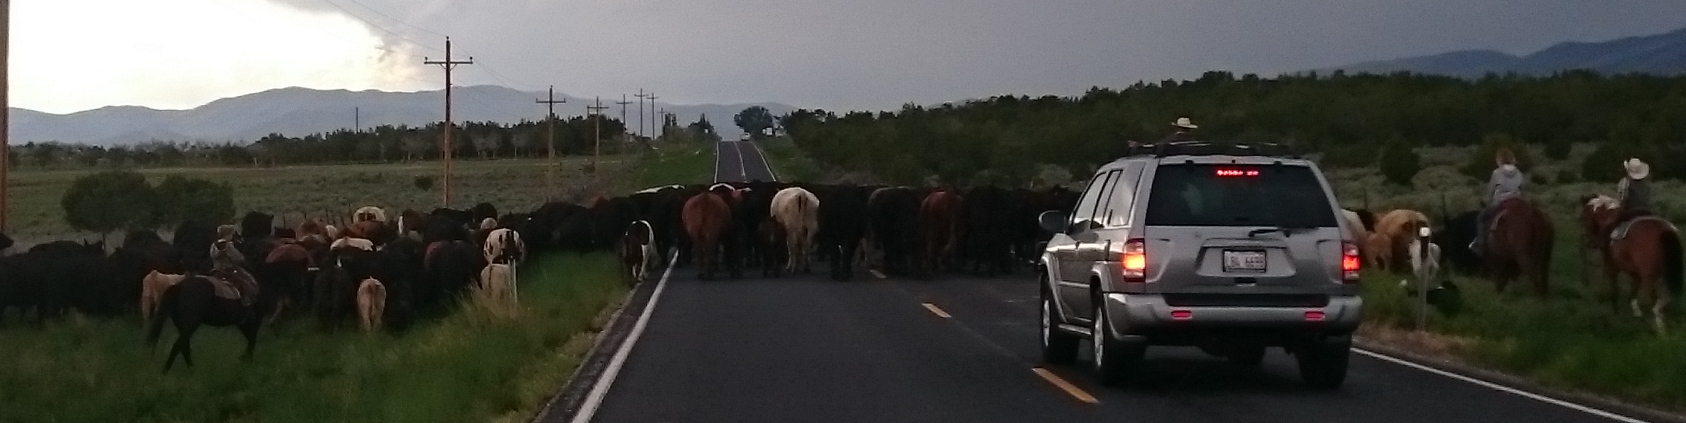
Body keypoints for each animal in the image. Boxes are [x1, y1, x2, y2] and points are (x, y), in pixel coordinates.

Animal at [1571, 194, 1679, 333]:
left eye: (1583, 217)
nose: (1585, 241)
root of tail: (1665, 231)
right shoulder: (1635, 274)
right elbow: (1632, 294)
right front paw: (1637, 314)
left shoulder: (1612, 266)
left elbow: (1614, 289)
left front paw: (1615, 311)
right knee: (1666, 298)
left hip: (1649, 278)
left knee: (1656, 300)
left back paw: (1661, 329)